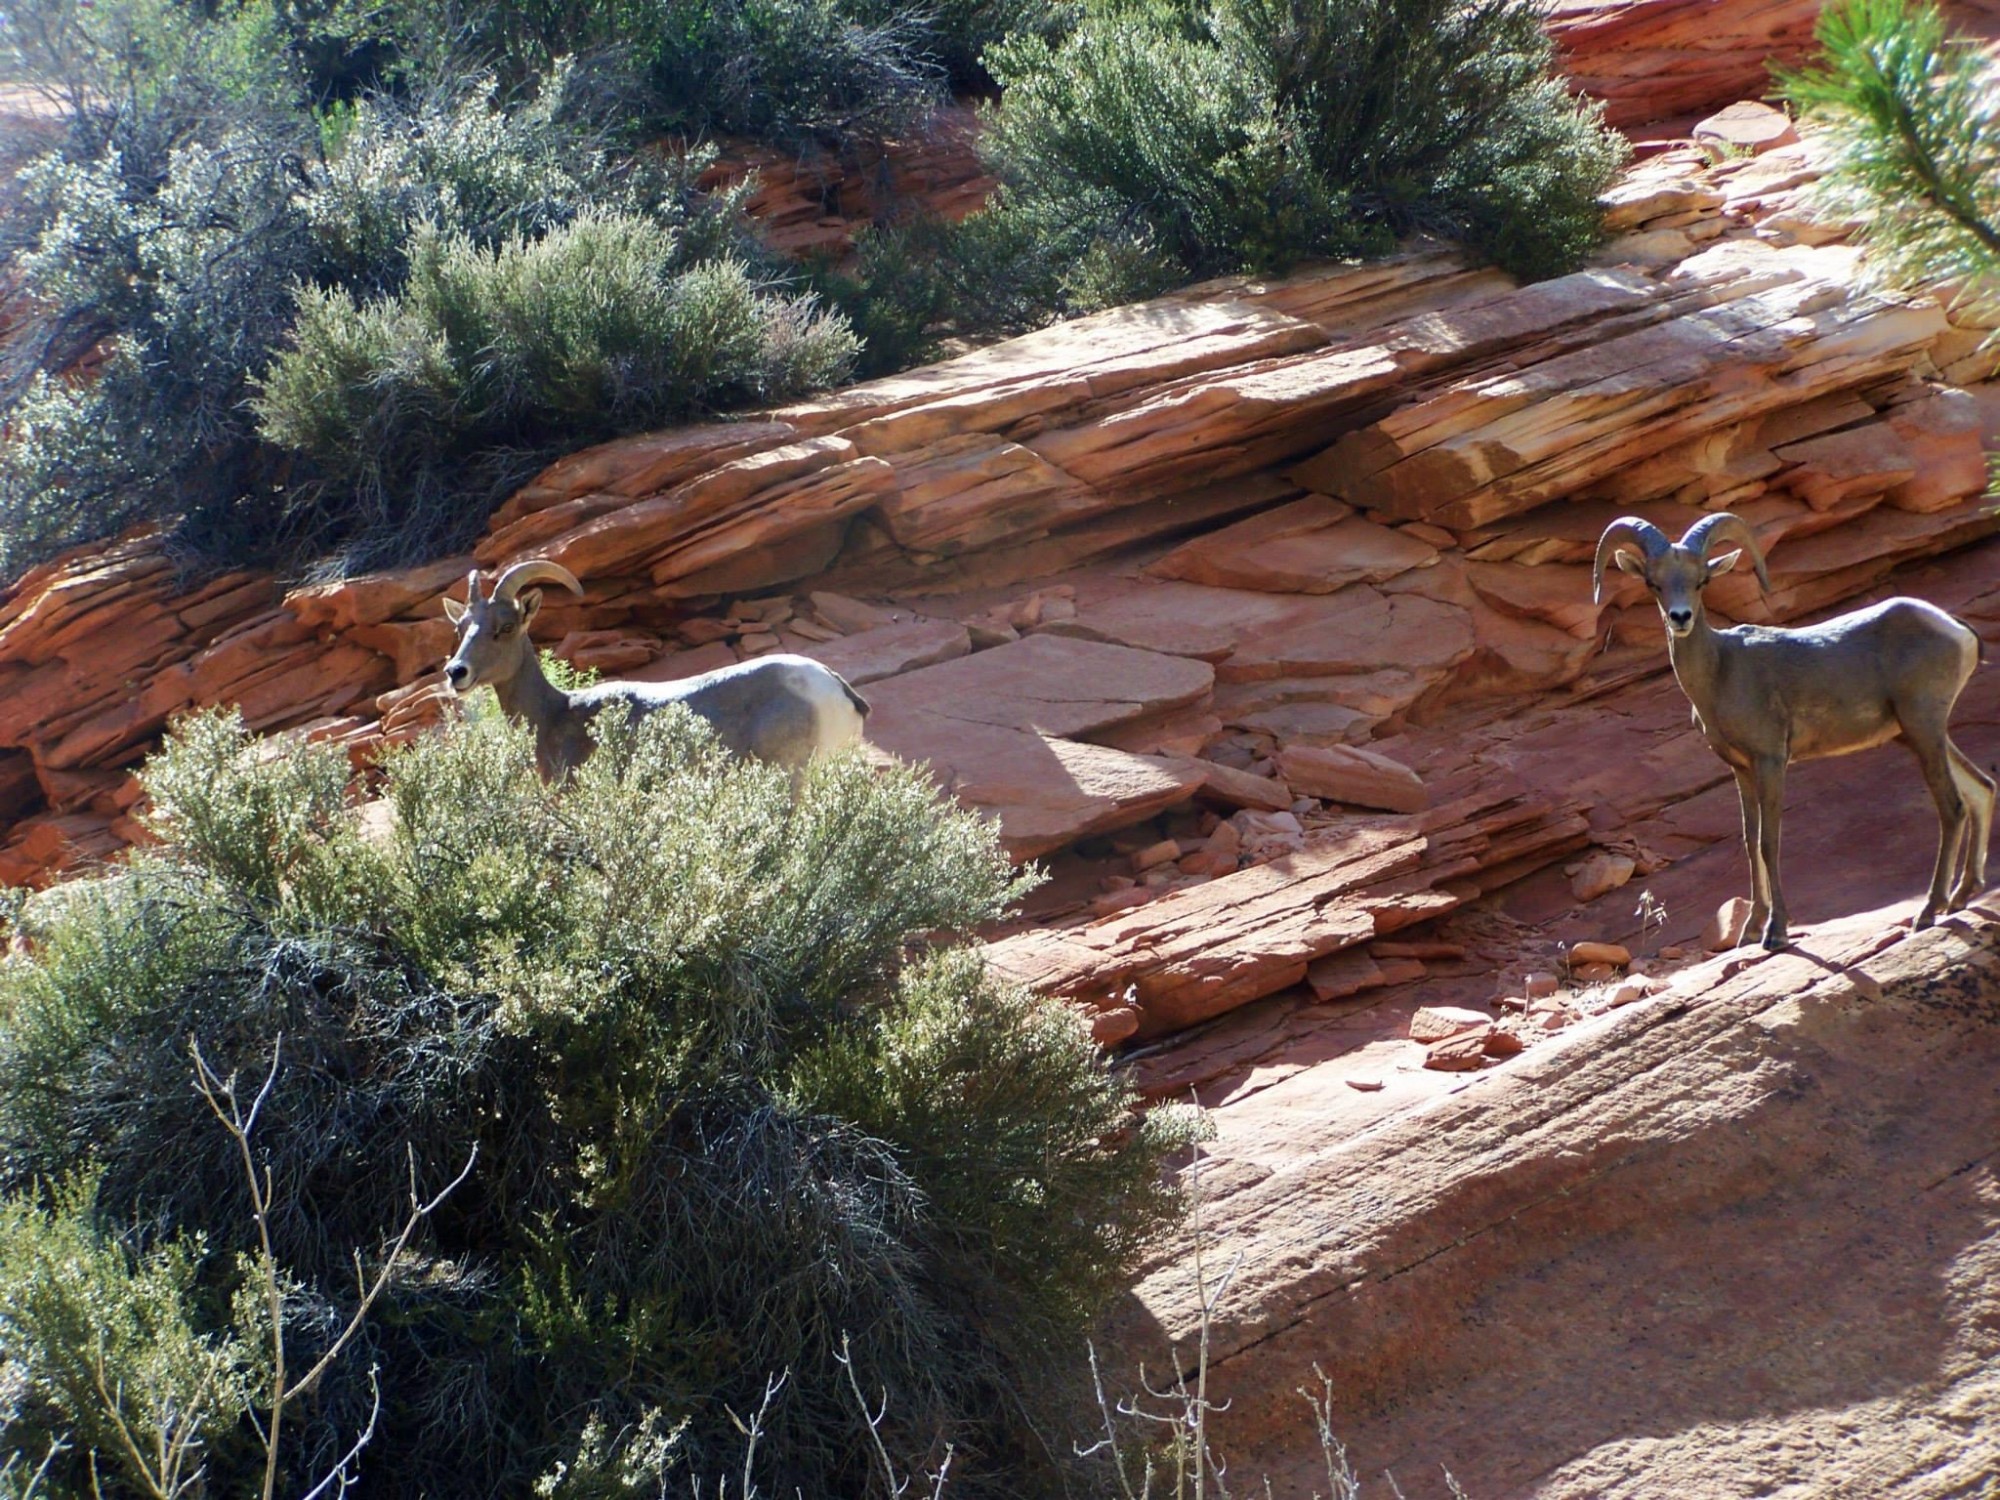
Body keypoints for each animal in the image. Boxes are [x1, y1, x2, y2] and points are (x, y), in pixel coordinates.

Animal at [1594, 512, 1994, 952]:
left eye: (1702, 581)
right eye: (1655, 583)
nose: (1680, 618)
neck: (1720, 673)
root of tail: (1955, 629)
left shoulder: (1771, 761)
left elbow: (1769, 842)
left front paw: (1775, 933)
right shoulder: (1741, 769)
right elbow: (1749, 843)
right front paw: (1750, 931)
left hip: (1923, 728)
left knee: (1952, 807)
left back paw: (1928, 911)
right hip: (1916, 734)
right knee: (1982, 788)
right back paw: (1961, 895)